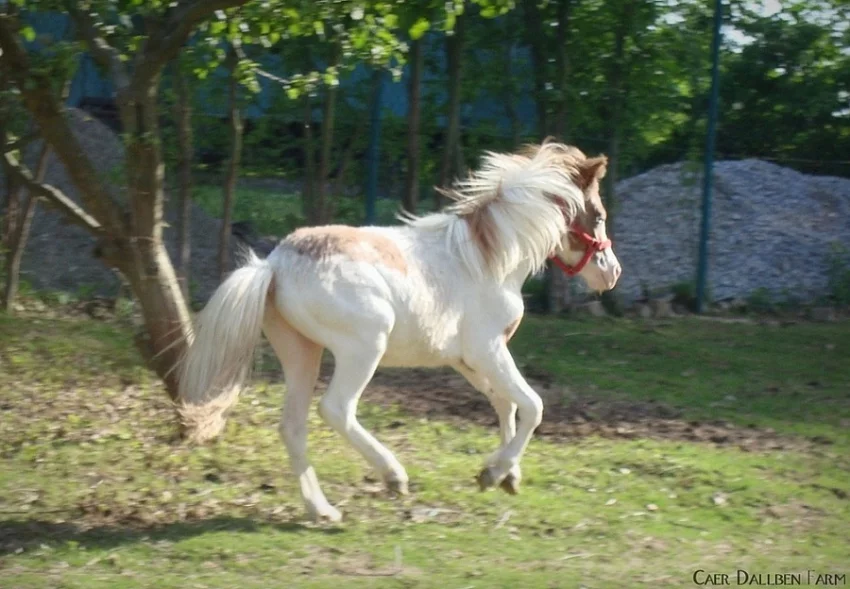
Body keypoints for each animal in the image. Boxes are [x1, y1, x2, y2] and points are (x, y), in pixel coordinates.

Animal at [177, 140, 622, 522]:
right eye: (599, 215)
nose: (612, 273)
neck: (487, 261)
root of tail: (274, 265)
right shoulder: (488, 350)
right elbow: (532, 406)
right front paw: (496, 474)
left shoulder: (468, 361)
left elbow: (505, 404)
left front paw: (503, 475)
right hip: (363, 348)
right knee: (335, 409)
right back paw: (393, 476)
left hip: (302, 352)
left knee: (293, 425)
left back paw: (322, 510)